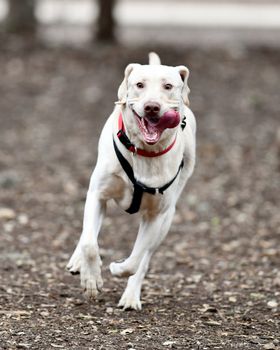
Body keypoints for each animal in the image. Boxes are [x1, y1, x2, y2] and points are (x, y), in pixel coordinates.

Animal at [66, 52, 196, 308]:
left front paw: (118, 268)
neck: (143, 151)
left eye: (168, 86)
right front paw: (91, 280)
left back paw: (130, 297)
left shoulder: (157, 216)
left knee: (145, 257)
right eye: (139, 85)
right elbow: (89, 244)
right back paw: (78, 262)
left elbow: (137, 259)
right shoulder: (97, 194)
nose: (152, 107)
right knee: (88, 233)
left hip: (168, 218)